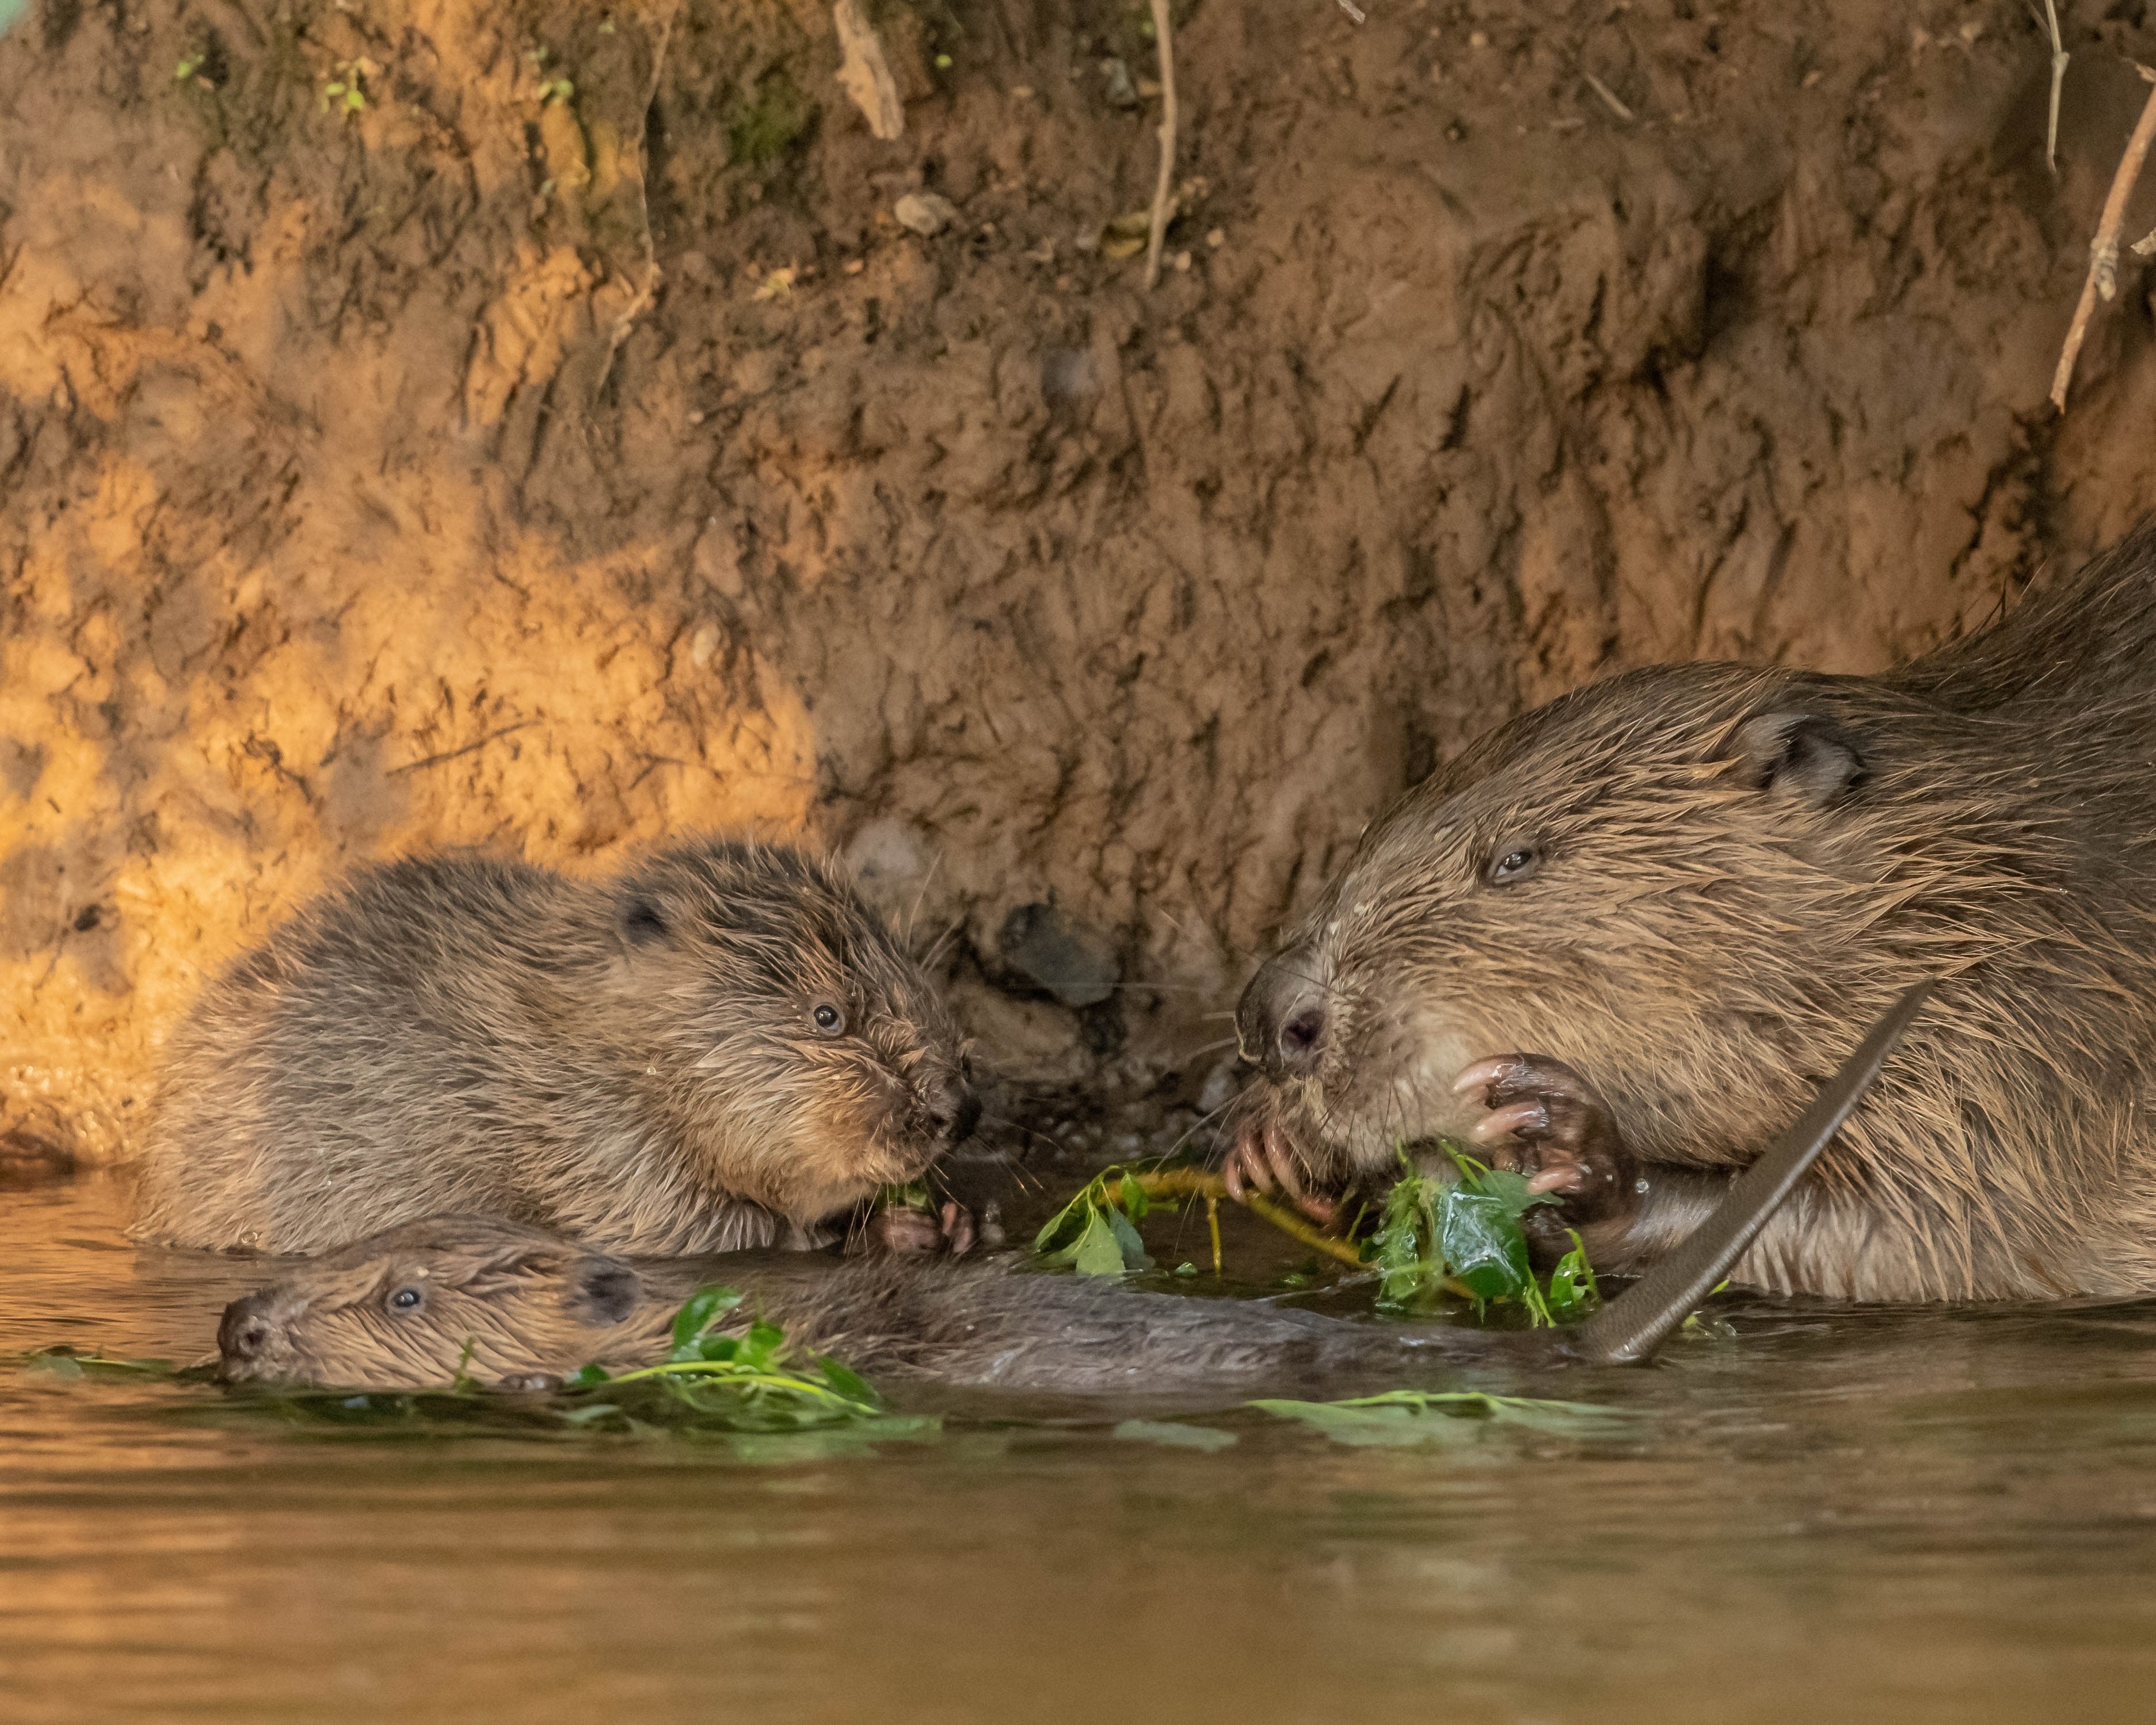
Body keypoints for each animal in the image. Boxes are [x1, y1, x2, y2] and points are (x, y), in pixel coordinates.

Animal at [130, 841, 974, 1259]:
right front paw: (898, 1230)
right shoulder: (598, 1147)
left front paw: (956, 1222)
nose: (954, 1110)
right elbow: (711, 1231)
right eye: (828, 1015)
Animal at [1241, 519, 2156, 1302]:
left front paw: (1561, 1141)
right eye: (1369, 832)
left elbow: (1941, 1236)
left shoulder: (2036, 1037)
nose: (1271, 1013)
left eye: (1514, 858)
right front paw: (1270, 1155)